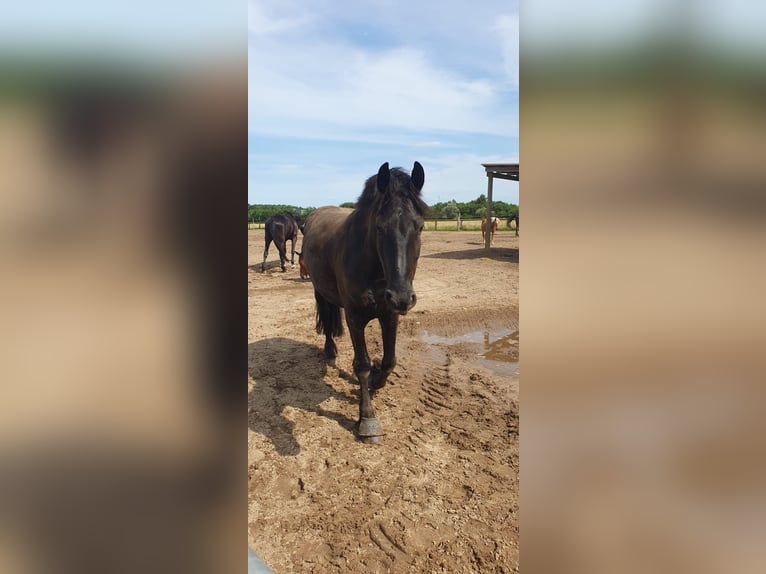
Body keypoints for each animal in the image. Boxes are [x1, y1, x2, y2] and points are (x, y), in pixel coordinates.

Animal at [301, 162, 426, 443]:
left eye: (420, 226)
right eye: (379, 227)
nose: (402, 297)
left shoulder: (390, 315)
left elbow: (390, 360)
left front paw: (378, 378)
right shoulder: (355, 318)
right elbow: (362, 365)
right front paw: (367, 419)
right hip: (319, 290)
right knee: (327, 320)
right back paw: (330, 351)